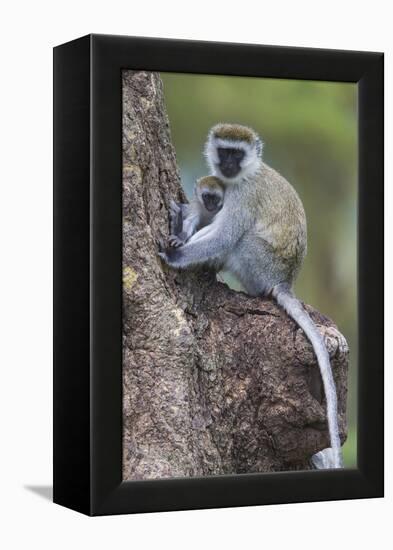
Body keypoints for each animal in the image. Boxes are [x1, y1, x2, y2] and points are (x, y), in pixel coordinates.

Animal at [159, 122, 344, 470]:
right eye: (224, 151)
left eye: (237, 154)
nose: (228, 165)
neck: (244, 176)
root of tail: (283, 282)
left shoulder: (242, 196)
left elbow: (225, 235)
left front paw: (177, 254)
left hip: (258, 263)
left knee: (240, 239)